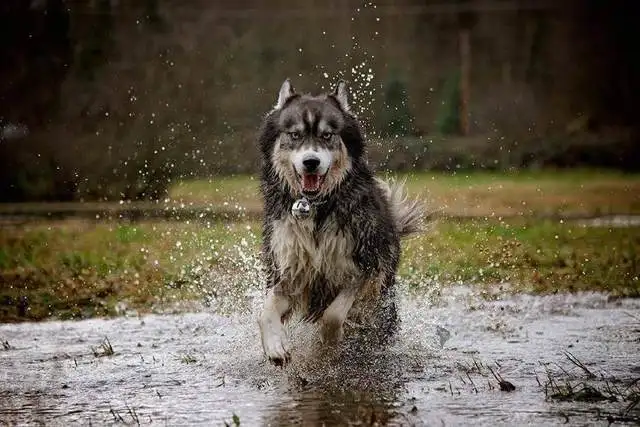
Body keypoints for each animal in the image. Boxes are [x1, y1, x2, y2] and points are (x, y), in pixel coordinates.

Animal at [258, 81, 422, 368]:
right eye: (295, 135)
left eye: (327, 136)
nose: (311, 162)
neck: (315, 207)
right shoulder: (290, 270)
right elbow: (265, 313)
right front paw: (276, 347)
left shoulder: (363, 268)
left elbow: (333, 315)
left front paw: (328, 345)